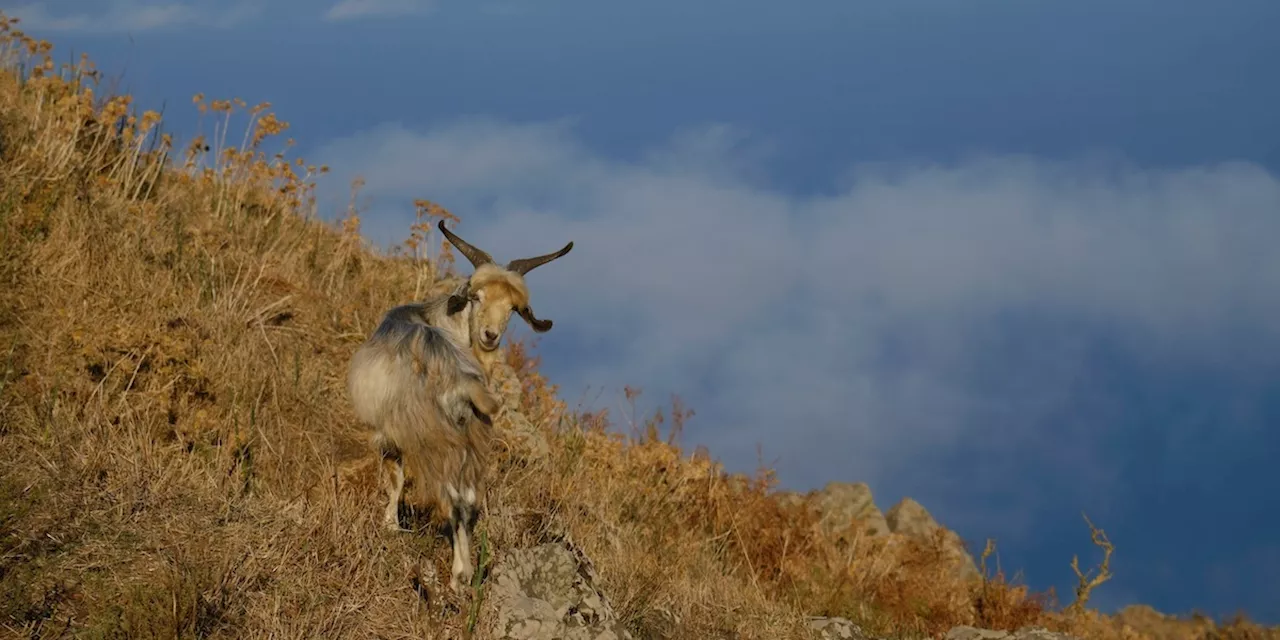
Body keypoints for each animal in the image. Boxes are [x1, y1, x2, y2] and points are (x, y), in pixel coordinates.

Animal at [348, 221, 573, 593]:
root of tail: (464, 383)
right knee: (468, 501)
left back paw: (457, 575)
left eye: (512, 308)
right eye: (477, 297)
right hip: (472, 444)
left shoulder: (389, 433)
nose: (490, 335)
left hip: (438, 442)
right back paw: (465, 575)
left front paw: (390, 525)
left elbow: (395, 479)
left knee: (453, 498)